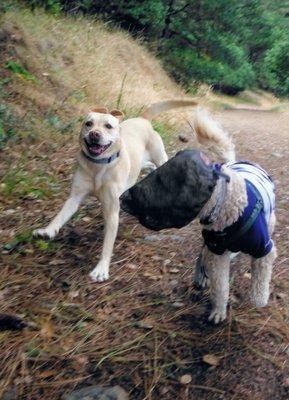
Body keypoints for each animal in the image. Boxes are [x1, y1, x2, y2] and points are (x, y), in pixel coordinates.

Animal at [120, 111, 276, 324]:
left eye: (161, 179)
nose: (123, 198)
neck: (226, 206)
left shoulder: (264, 251)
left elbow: (260, 283)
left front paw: (259, 299)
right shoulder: (216, 252)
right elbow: (220, 286)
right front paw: (218, 311)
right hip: (208, 242)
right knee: (203, 255)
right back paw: (201, 275)